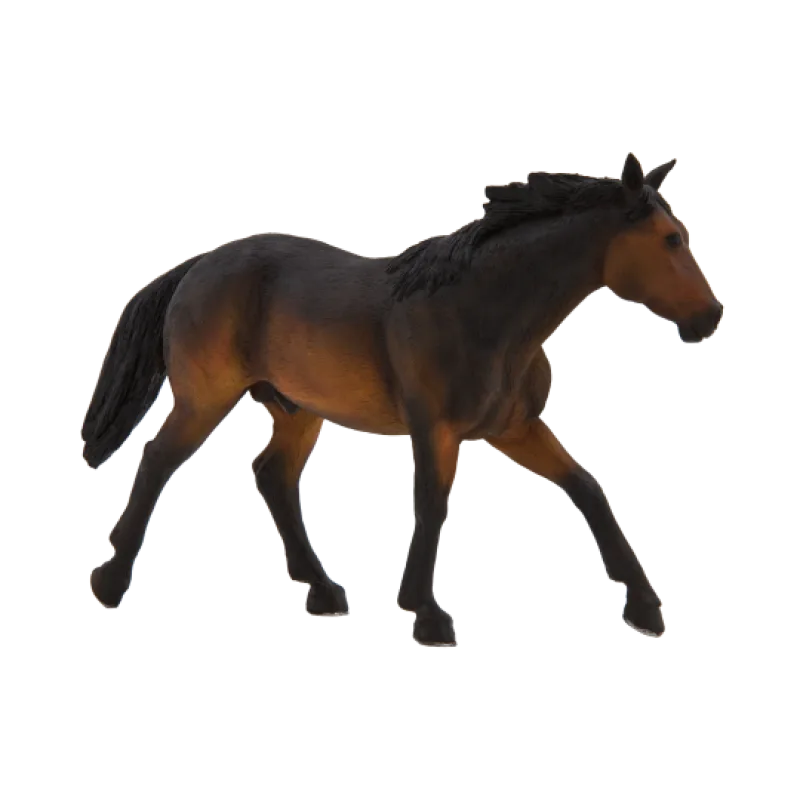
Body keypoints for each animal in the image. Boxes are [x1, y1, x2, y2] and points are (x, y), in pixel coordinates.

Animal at [81, 152, 724, 646]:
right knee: (158, 461)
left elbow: (588, 490)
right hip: (204, 399)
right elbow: (434, 506)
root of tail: (197, 266)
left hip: (300, 412)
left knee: (272, 476)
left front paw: (645, 607)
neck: (483, 313)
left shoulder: (514, 429)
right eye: (670, 239)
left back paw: (322, 591)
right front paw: (427, 614)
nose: (710, 318)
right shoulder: (436, 430)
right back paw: (110, 583)